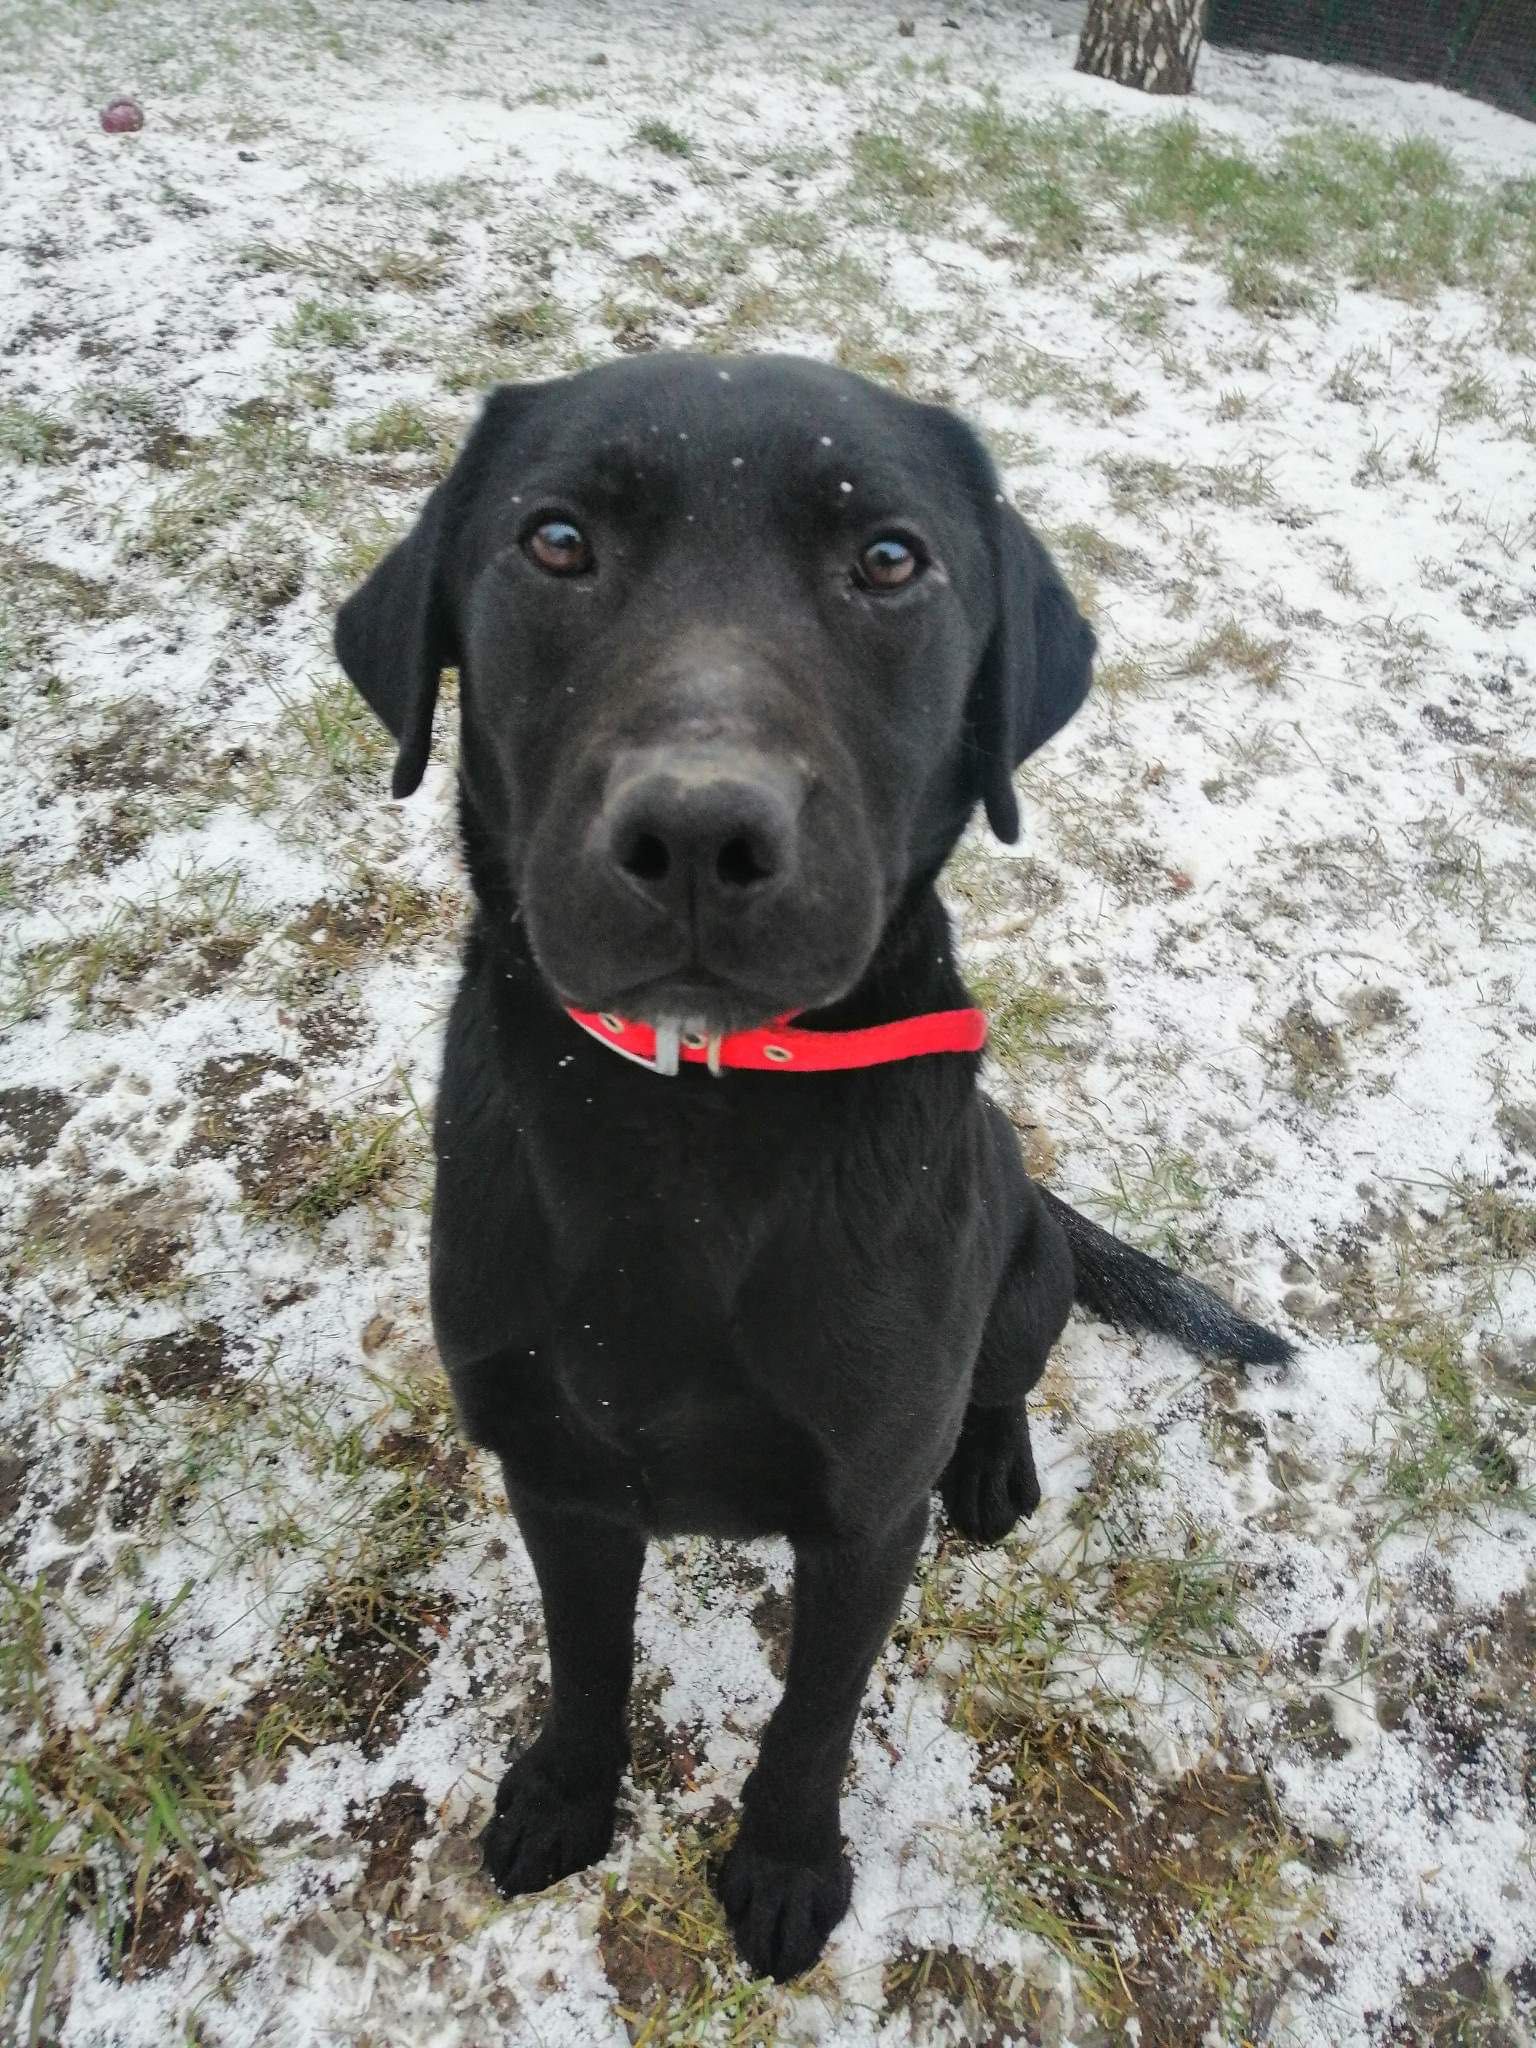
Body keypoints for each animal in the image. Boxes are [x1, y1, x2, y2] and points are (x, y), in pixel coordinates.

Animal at [339, 352, 1302, 1982]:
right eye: (554, 540)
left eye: (891, 559)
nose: (697, 832)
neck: (690, 1131)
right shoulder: (557, 1470)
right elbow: (585, 1658)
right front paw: (565, 1794)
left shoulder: (863, 1512)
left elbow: (812, 1715)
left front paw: (787, 1868)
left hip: (1021, 1265)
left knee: (1004, 1375)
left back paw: (995, 1460)